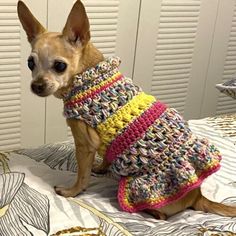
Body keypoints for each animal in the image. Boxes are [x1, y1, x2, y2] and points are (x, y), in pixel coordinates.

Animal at [17, 0, 236, 219]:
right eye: (30, 63)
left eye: (60, 66)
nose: (36, 85)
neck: (90, 76)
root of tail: (198, 197)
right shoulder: (107, 140)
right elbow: (108, 154)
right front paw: (102, 168)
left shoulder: (85, 144)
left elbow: (82, 175)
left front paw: (72, 191)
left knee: (162, 215)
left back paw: (148, 210)